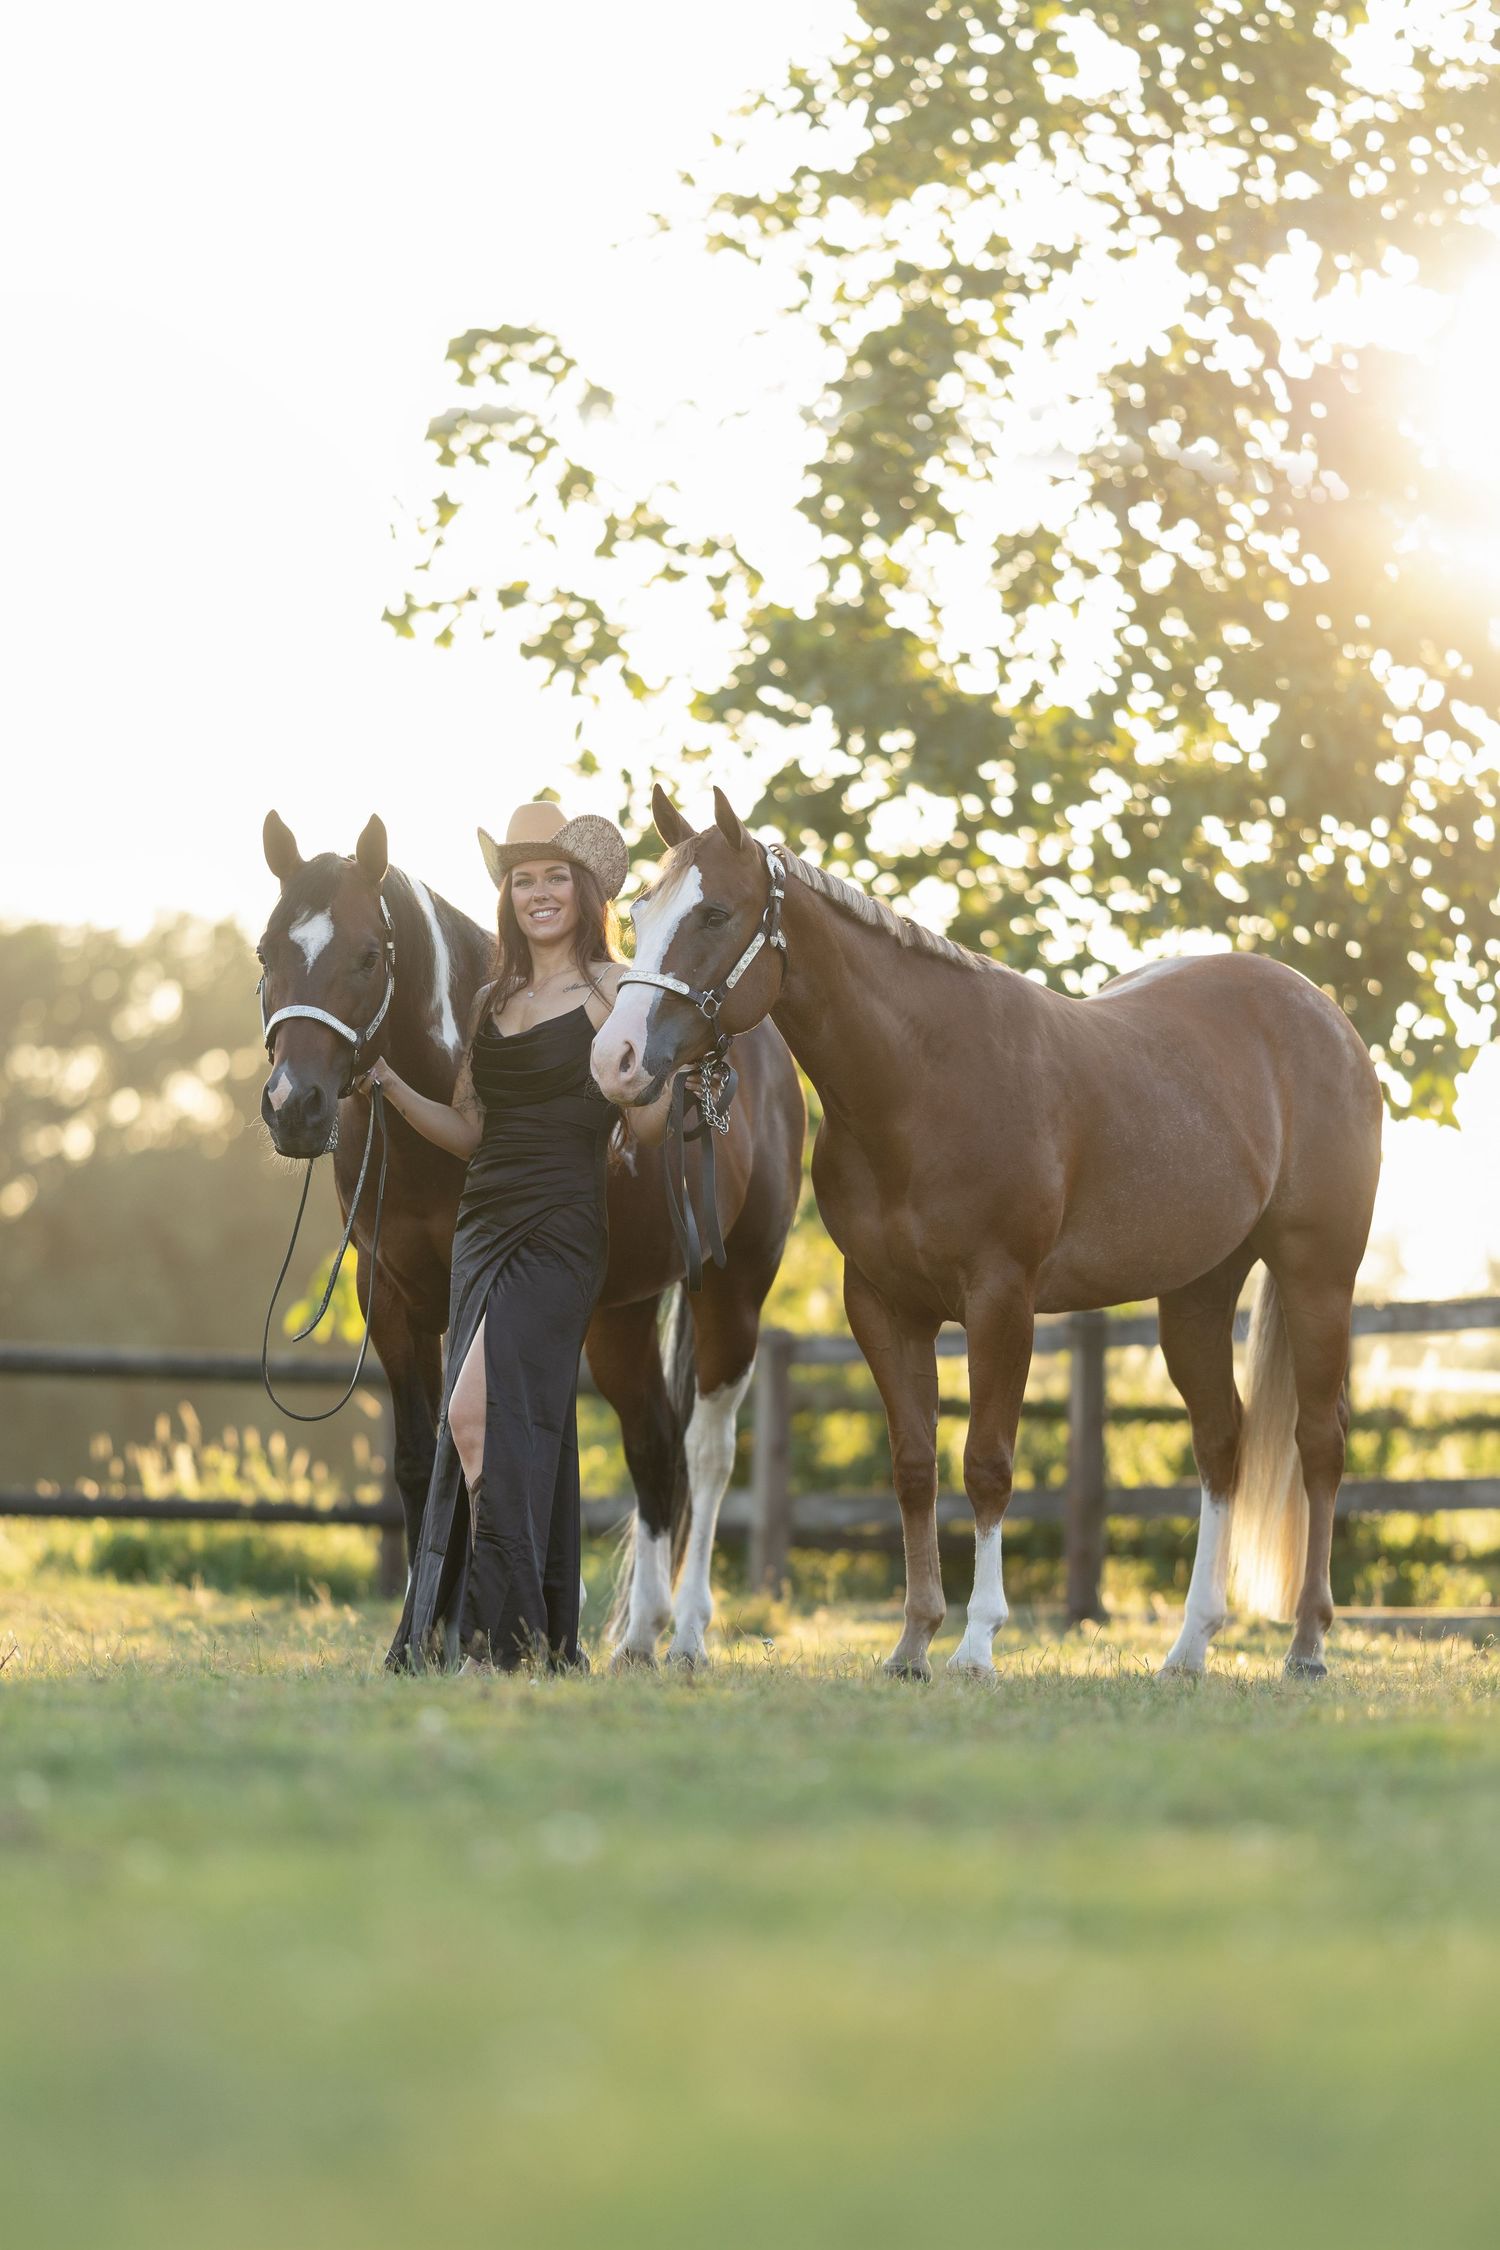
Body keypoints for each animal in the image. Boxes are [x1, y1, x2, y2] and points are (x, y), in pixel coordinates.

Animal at [255, 810, 805, 1666]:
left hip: (736, 1290)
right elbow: (419, 1459)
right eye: (265, 953)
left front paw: (472, 1628)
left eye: (368, 955)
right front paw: (418, 1637)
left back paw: (685, 1635)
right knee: (654, 1447)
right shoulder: (391, 1302)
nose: (294, 1107)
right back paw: (636, 1638)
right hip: (618, 1315)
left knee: (707, 1453)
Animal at [591, 785, 1383, 1682]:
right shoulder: (883, 1307)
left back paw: (1308, 1644)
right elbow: (915, 1467)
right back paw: (1188, 1649)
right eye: (640, 909)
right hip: (1199, 1291)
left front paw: (975, 1644)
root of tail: (1324, 1017)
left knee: (1319, 1442)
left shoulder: (1001, 1301)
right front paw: (912, 1642)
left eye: (716, 912)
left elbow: (987, 1464)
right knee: (1222, 1441)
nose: (616, 1059)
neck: (922, 1082)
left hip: (1317, 1274)